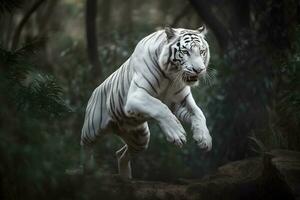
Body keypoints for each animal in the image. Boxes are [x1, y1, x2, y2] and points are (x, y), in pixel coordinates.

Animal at [81, 26, 213, 178]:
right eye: (185, 52)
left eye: (202, 51)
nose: (199, 70)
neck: (171, 77)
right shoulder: (136, 95)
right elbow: (160, 107)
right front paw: (177, 135)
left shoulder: (181, 101)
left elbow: (199, 113)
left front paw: (204, 139)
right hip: (92, 128)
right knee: (86, 146)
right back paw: (88, 169)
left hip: (140, 138)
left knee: (121, 154)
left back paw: (126, 179)